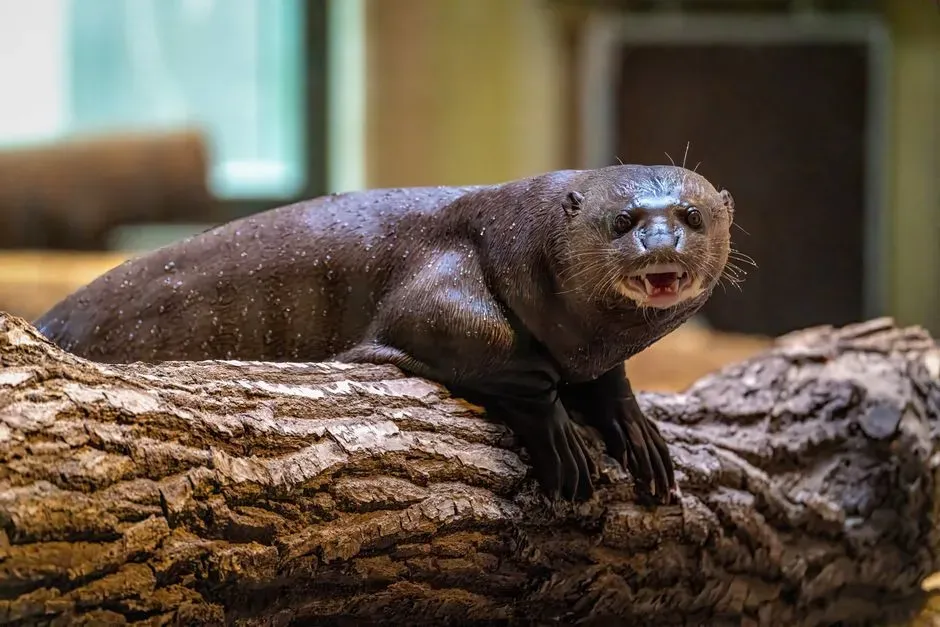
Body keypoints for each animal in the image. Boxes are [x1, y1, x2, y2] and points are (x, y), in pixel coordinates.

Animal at [36, 165, 736, 504]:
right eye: (621, 220)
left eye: (691, 215)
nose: (661, 242)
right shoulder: (445, 273)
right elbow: (484, 345)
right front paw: (558, 434)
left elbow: (606, 377)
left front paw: (633, 426)